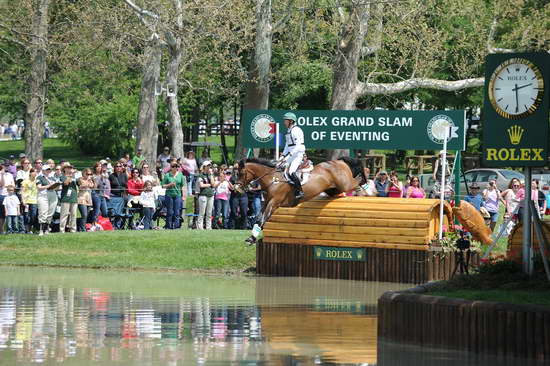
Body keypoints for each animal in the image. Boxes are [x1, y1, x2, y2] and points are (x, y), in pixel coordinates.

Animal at [237, 156, 366, 244]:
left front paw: (252, 238)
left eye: (241, 173)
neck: (273, 179)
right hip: (333, 189)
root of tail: (339, 161)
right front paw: (252, 237)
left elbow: (262, 219)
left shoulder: (274, 202)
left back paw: (363, 187)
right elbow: (258, 218)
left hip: (345, 184)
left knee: (358, 179)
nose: (237, 188)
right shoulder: (266, 202)